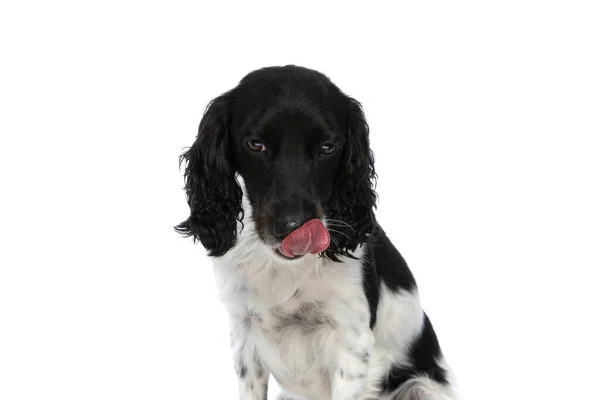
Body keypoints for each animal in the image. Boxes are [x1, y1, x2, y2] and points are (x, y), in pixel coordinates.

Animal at [176, 65, 458, 400]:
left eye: (328, 148)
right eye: (256, 144)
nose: (293, 227)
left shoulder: (351, 342)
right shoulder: (244, 334)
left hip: (421, 387)